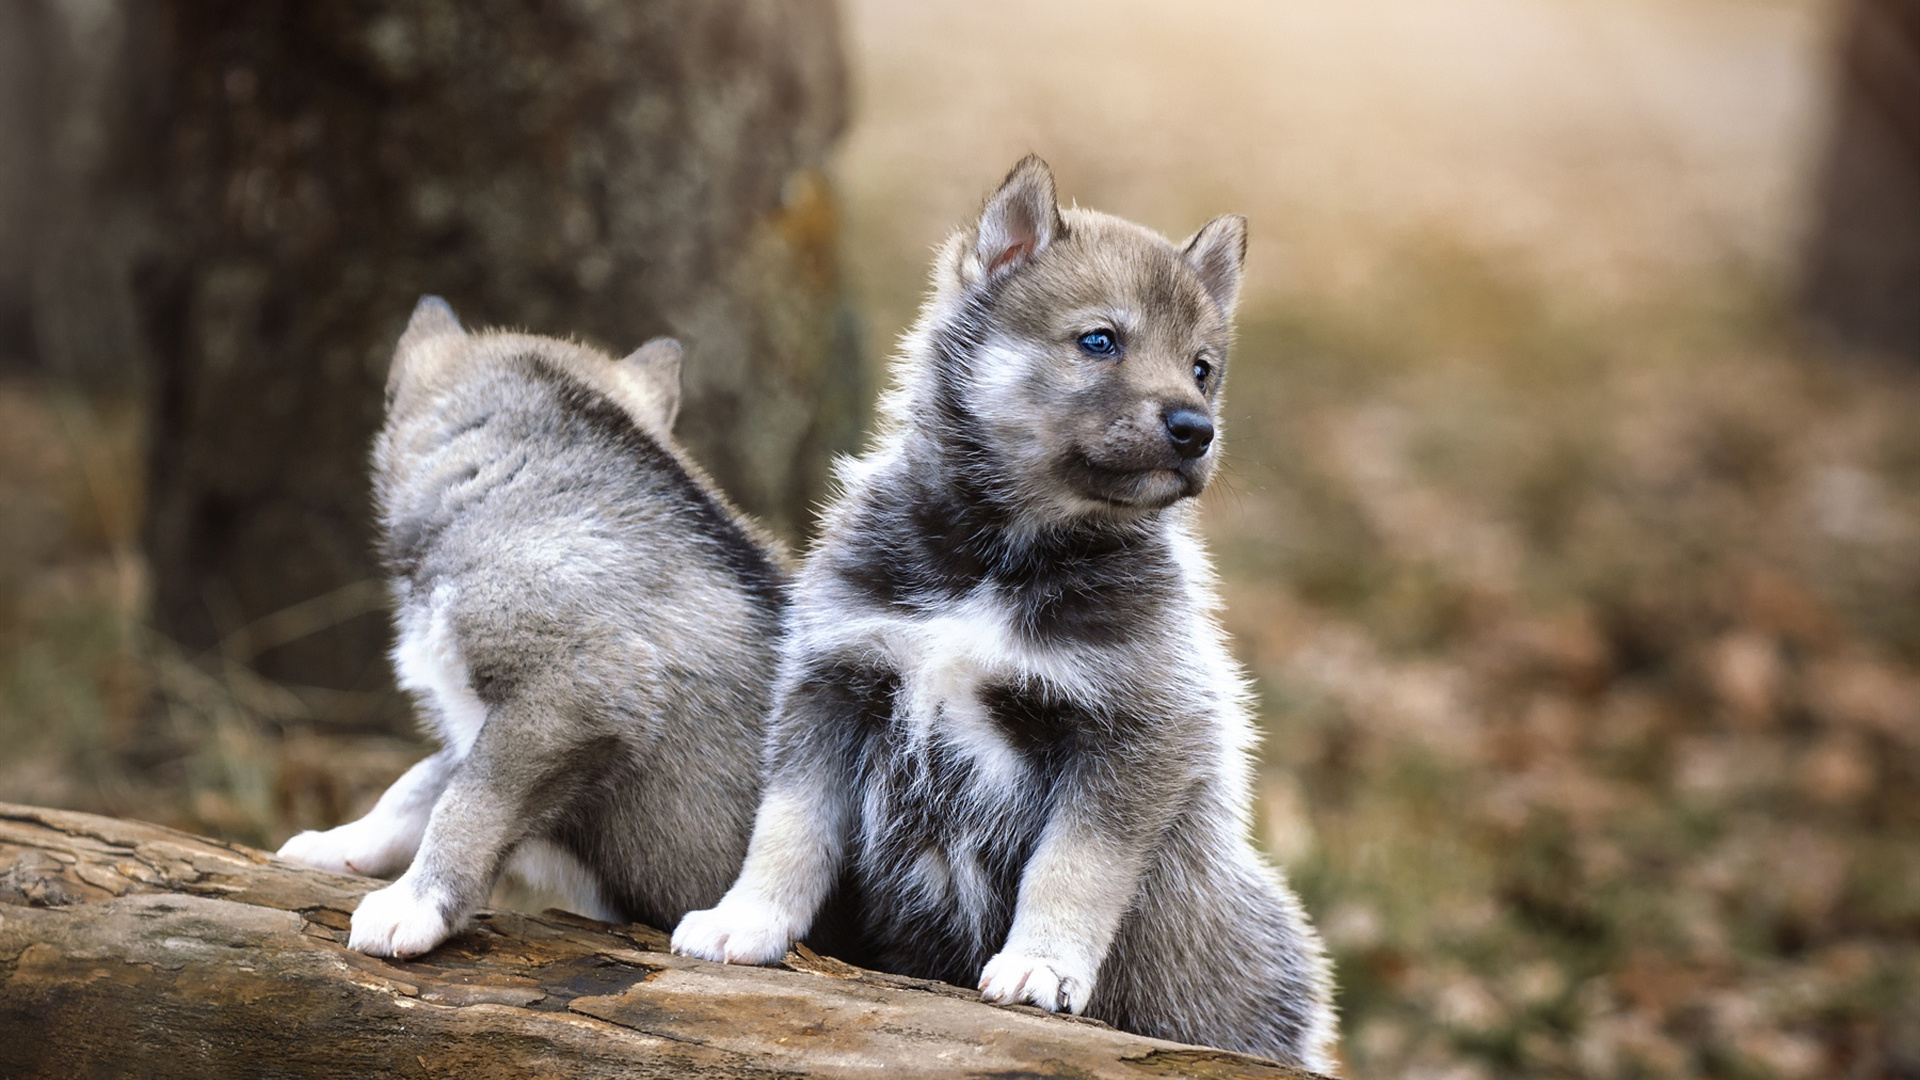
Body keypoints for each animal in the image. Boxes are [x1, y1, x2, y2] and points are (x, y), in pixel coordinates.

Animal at [274, 295, 783, 957]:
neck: (524, 479)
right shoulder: (483, 718)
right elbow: (417, 783)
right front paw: (339, 845)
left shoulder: (566, 696)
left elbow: (464, 804)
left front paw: (414, 905)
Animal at [675, 155, 1336, 1060]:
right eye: (1101, 340)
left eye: (1202, 366)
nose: (1195, 429)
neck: (997, 557)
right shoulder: (832, 685)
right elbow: (787, 827)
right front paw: (745, 920)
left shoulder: (1133, 734)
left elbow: (1072, 869)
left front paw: (1041, 966)